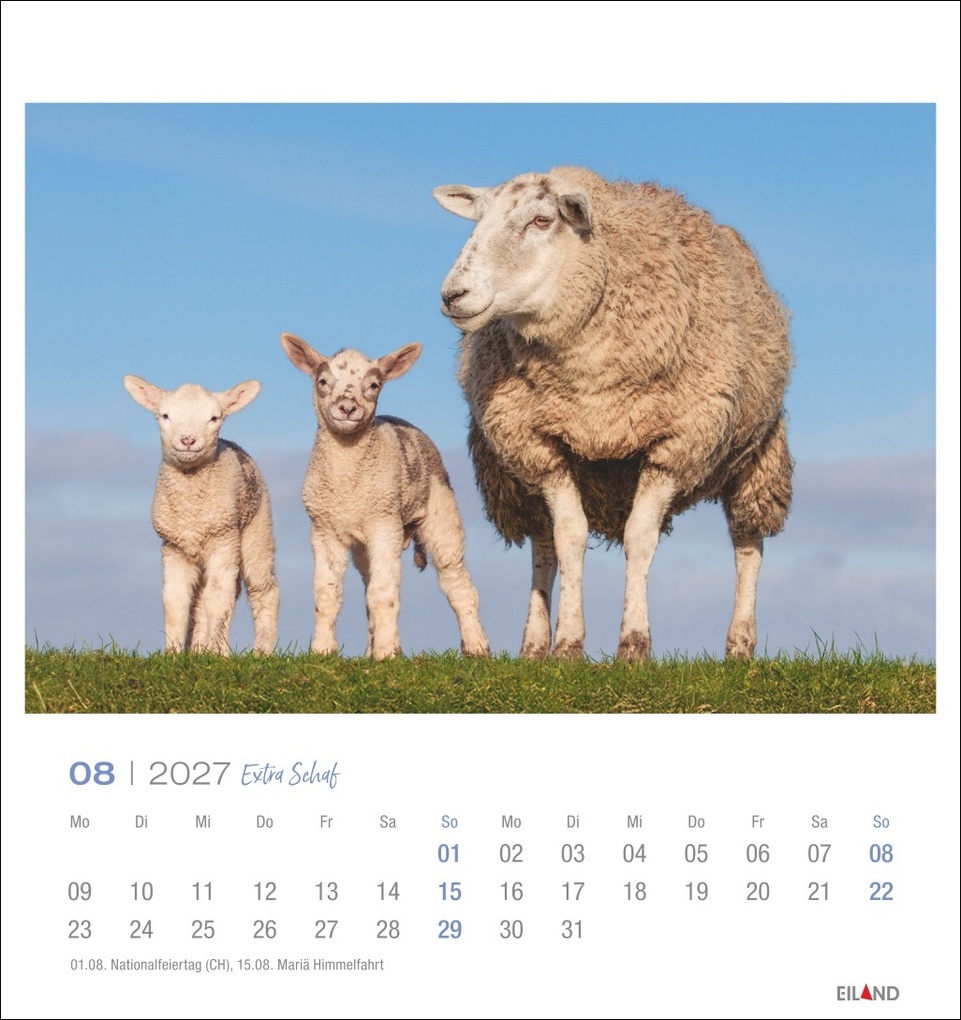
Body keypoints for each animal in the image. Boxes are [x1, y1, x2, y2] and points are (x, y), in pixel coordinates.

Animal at [123, 375, 279, 655]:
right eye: (165, 415)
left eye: (214, 418)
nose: (187, 440)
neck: (191, 513)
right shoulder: (173, 547)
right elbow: (175, 600)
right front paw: (173, 654)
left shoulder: (223, 539)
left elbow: (219, 597)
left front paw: (218, 655)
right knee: (201, 600)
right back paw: (198, 650)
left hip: (258, 528)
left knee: (263, 589)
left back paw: (261, 652)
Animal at [280, 333, 491, 661]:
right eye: (323, 381)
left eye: (374, 385)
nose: (347, 407)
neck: (347, 484)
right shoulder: (324, 528)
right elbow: (327, 594)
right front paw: (322, 651)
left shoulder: (383, 523)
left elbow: (383, 594)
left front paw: (387, 654)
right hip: (367, 544)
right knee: (371, 585)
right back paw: (372, 650)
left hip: (440, 512)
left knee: (455, 579)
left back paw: (476, 647)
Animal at [434, 166, 793, 662]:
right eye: (477, 220)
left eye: (542, 220)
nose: (453, 294)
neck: (590, 383)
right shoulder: (542, 446)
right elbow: (568, 539)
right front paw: (568, 644)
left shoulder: (674, 446)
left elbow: (640, 539)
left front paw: (634, 645)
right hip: (517, 471)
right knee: (542, 546)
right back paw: (534, 645)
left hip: (756, 455)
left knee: (748, 543)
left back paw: (739, 644)